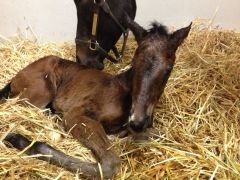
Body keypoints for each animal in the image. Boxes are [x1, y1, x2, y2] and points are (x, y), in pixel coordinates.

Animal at [0, 17, 191, 179]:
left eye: (168, 68)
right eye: (134, 63)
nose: (137, 121)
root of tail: (15, 77)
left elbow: (159, 135)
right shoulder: (76, 115)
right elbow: (110, 164)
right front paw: (20, 140)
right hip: (39, 93)